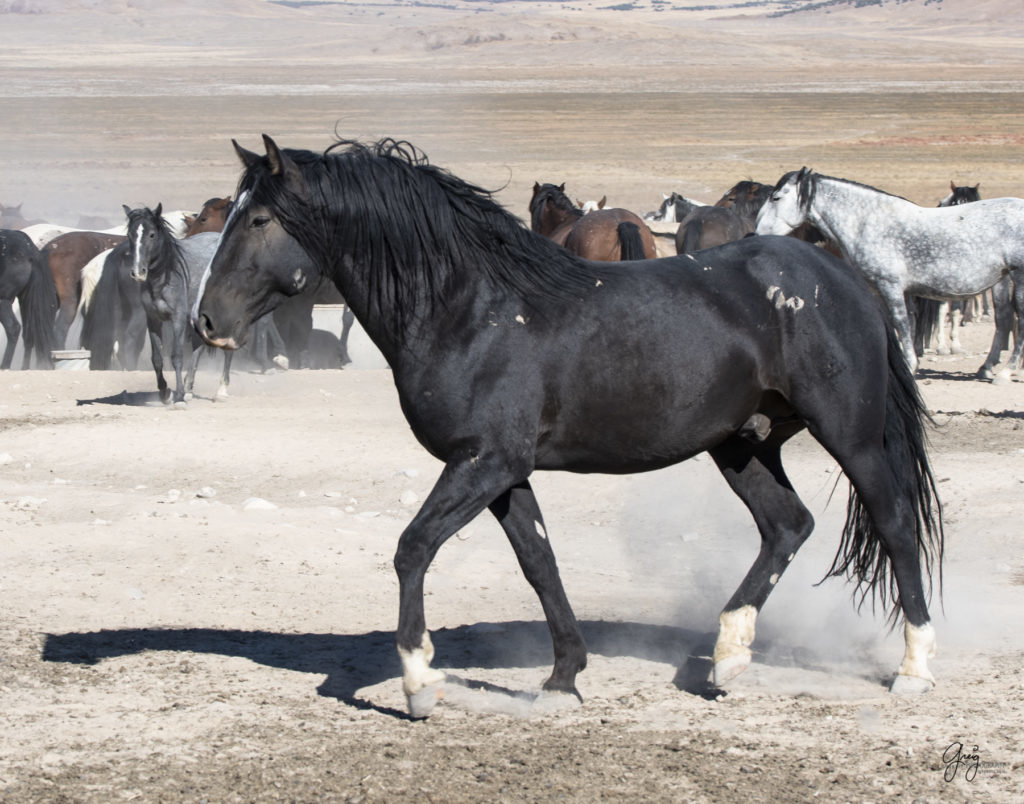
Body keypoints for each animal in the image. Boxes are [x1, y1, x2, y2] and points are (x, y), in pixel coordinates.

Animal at [0, 225, 58, 366]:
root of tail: (30, 248)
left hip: (3, 300)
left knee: (13, 329)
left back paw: (5, 366)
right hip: (26, 300)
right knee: (29, 334)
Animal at [193, 136, 942, 716]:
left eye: (259, 219)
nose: (207, 321)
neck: (470, 307)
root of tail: (843, 279)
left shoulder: (483, 462)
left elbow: (413, 548)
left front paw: (417, 681)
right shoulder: (503, 471)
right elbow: (539, 562)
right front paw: (562, 678)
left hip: (852, 436)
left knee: (895, 524)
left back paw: (913, 668)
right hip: (741, 444)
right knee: (788, 525)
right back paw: (727, 656)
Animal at [753, 168, 1024, 372]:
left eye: (776, 198)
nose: (755, 234)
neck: (867, 221)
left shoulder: (891, 286)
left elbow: (901, 323)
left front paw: (910, 366)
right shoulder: (879, 290)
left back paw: (1008, 370)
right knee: (1004, 318)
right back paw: (988, 367)